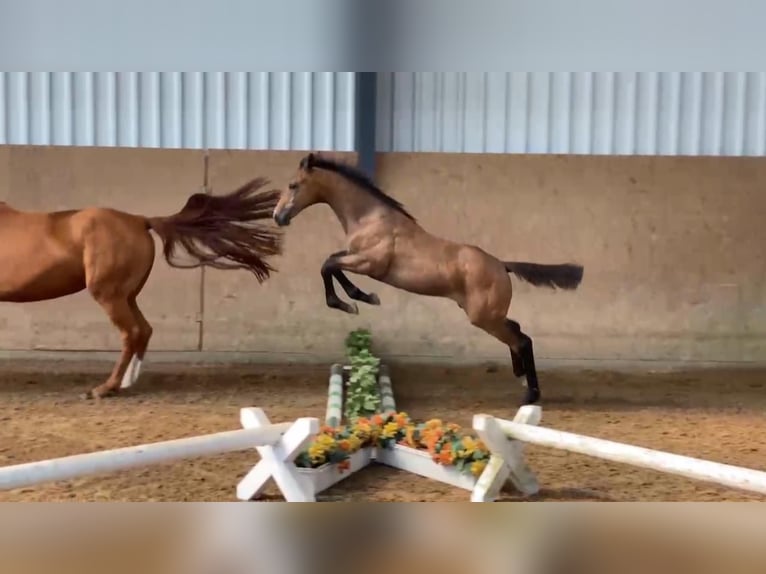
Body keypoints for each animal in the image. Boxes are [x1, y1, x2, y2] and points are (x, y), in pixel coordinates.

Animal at [0, 179, 282, 400]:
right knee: (144, 330)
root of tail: (139, 221)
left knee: (131, 332)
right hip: (128, 295)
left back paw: (105, 388)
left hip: (109, 295)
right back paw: (127, 382)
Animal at [272, 153, 584, 404]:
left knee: (522, 340)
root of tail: (502, 266)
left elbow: (327, 265)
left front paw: (352, 301)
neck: (371, 218)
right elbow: (331, 263)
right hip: (487, 314)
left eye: (293, 185)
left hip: (484, 318)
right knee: (517, 331)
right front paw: (359, 298)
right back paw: (520, 376)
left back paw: (530, 394)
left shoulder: (369, 263)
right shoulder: (354, 256)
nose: (278, 216)